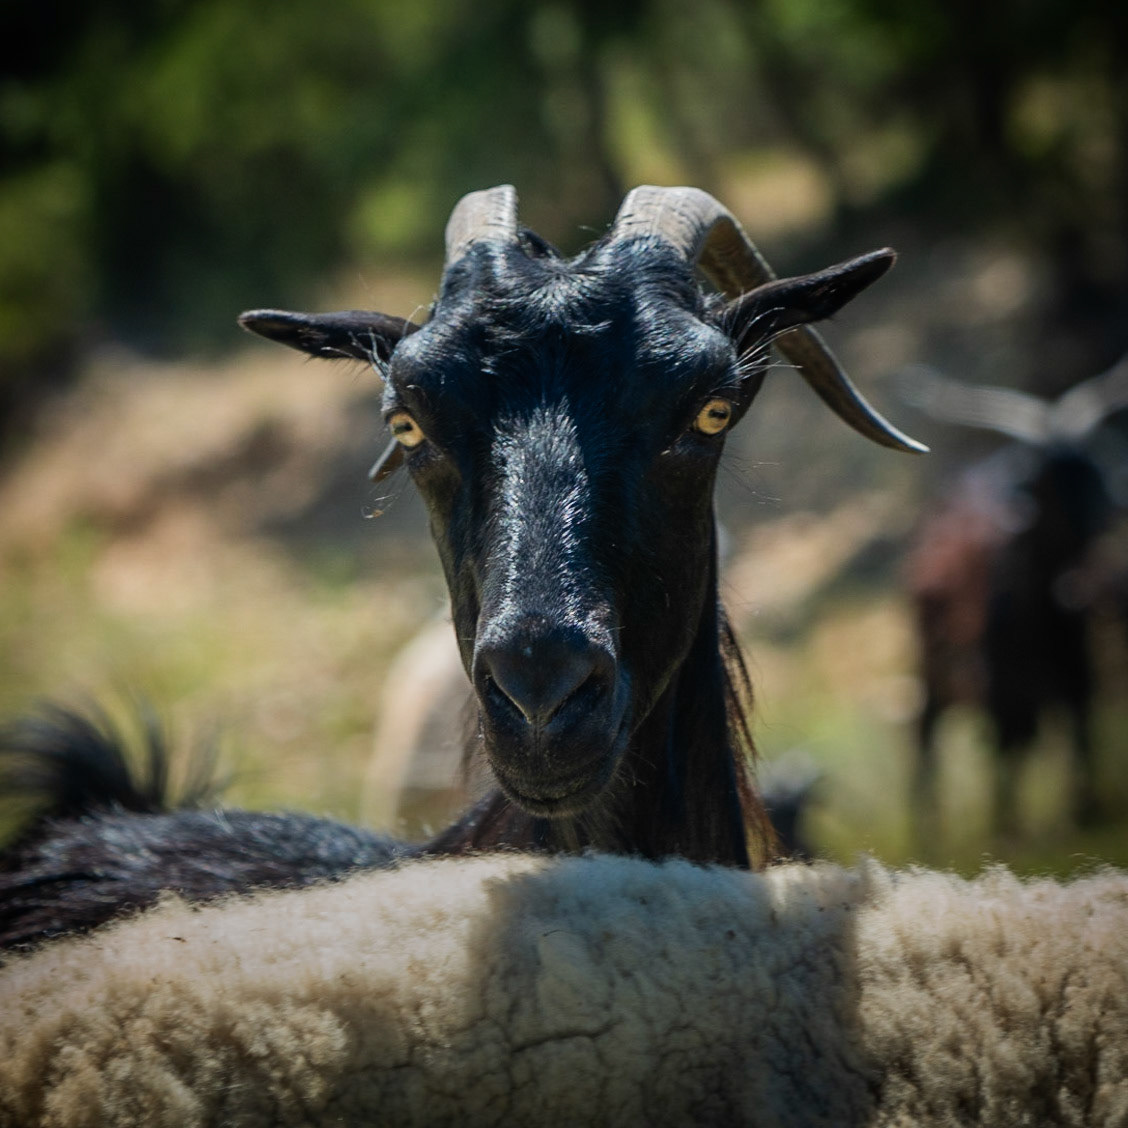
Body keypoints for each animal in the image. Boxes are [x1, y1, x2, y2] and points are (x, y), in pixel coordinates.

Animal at [902, 360, 1128, 839]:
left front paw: (1084, 810)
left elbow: (1079, 729)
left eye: (1090, 464)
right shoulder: (996, 680)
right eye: (1047, 476)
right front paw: (1007, 828)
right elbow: (1007, 744)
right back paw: (930, 827)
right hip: (932, 658)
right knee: (928, 728)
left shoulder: (1074, 669)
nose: (1102, 516)